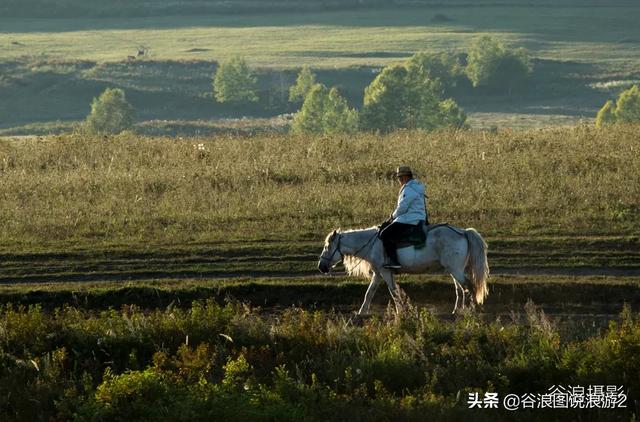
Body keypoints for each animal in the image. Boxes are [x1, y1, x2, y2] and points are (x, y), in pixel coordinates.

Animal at [318, 226, 490, 314]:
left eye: (327, 246)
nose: (321, 267)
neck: (372, 245)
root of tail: (463, 232)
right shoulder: (378, 273)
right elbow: (369, 293)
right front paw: (361, 313)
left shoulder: (386, 272)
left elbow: (394, 292)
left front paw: (401, 312)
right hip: (453, 270)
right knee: (460, 289)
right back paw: (456, 311)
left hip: (455, 270)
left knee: (468, 287)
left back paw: (471, 310)